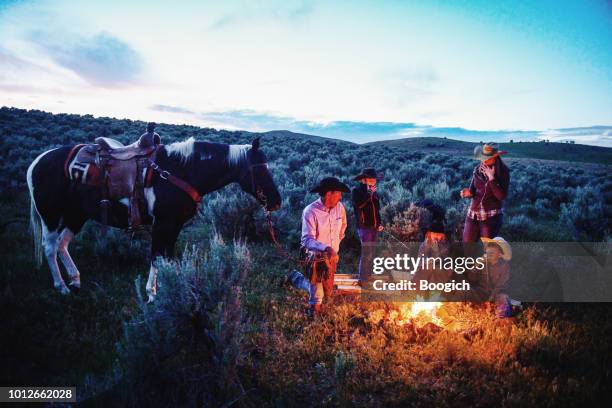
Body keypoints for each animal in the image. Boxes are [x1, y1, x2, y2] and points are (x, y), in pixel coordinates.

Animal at [26, 136, 280, 300]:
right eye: (260, 169)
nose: (276, 201)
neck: (180, 171)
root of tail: (36, 162)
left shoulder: (175, 226)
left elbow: (168, 258)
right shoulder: (163, 224)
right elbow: (157, 257)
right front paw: (152, 295)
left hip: (76, 214)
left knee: (62, 244)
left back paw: (76, 280)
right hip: (51, 215)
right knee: (50, 247)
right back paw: (61, 286)